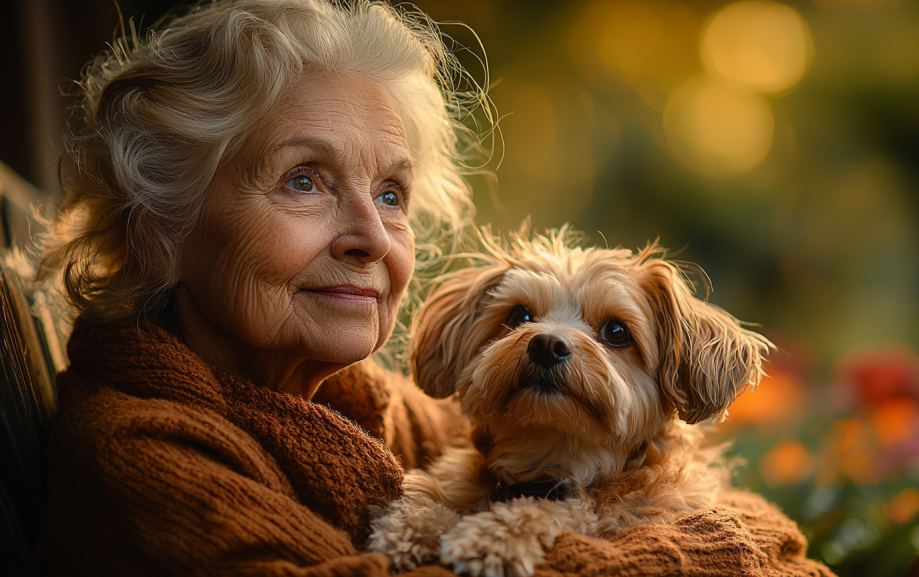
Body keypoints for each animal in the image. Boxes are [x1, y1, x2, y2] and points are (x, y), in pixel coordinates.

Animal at [370, 230, 772, 576]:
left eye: (616, 331)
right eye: (519, 315)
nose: (547, 344)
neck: (555, 453)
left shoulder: (622, 515)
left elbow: (566, 513)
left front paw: (492, 536)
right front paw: (411, 526)